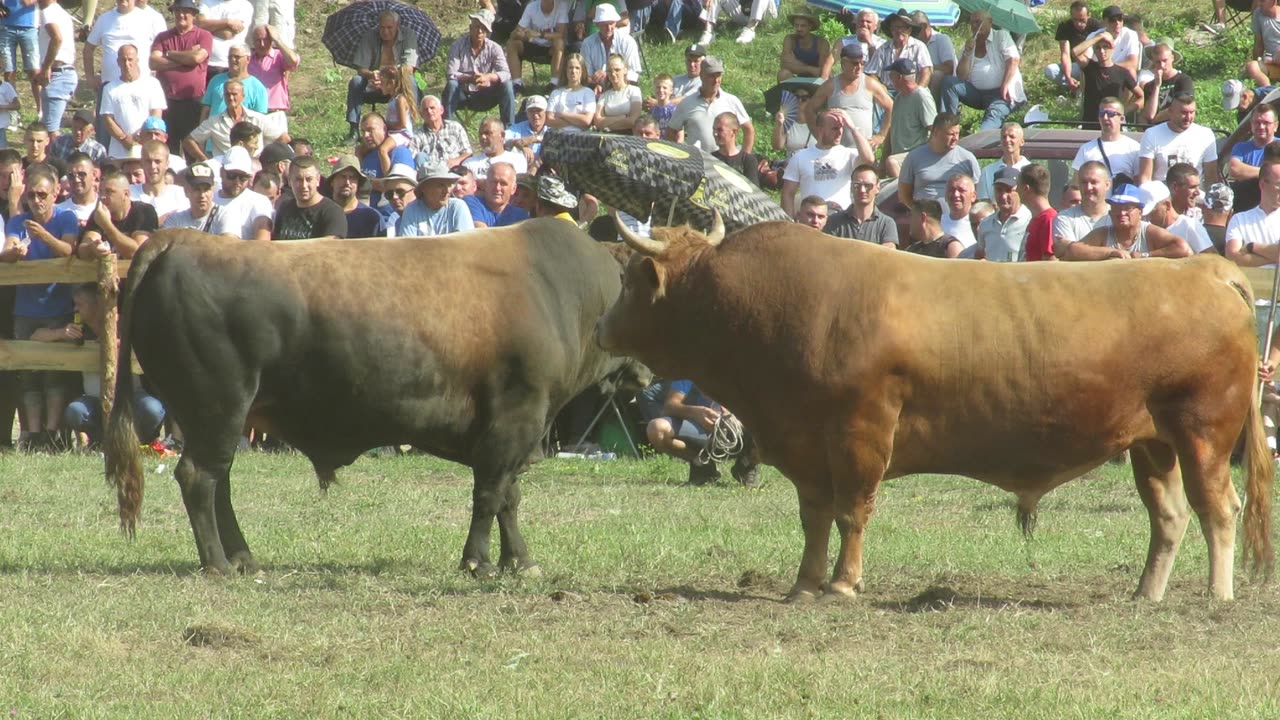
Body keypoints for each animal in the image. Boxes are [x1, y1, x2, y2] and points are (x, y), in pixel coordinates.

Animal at [596, 217, 1269, 599]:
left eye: (628, 280)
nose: (601, 328)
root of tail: (1204, 268)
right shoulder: (807, 447)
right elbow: (814, 517)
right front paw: (804, 585)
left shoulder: (861, 432)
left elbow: (852, 513)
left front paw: (842, 585)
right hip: (1151, 444)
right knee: (1169, 516)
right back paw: (1145, 595)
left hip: (1203, 434)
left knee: (1219, 509)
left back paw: (1218, 595)